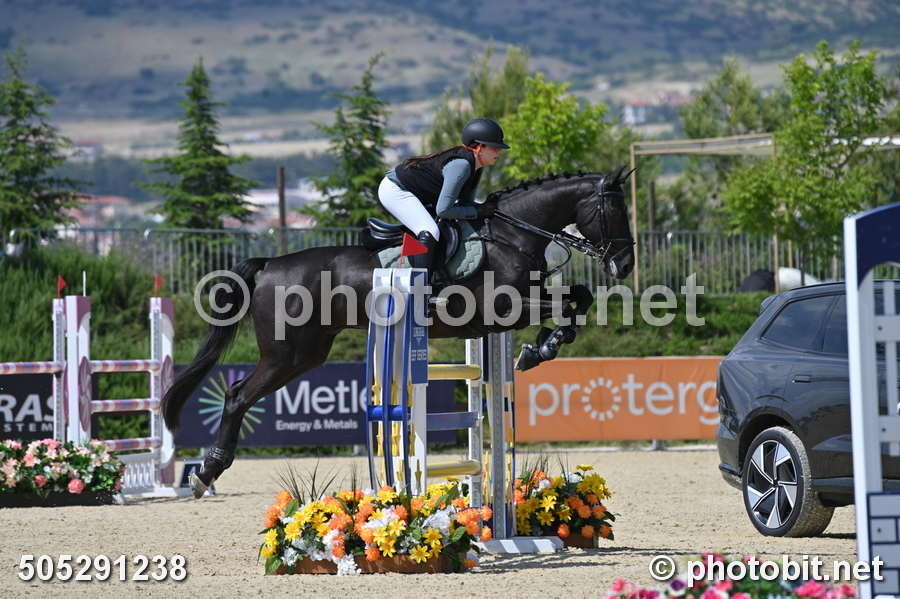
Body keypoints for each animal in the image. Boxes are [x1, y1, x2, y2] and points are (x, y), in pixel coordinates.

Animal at [162, 169, 635, 497]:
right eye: (613, 212)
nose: (625, 264)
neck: (511, 235)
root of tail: (271, 264)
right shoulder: (504, 310)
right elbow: (565, 308)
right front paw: (540, 349)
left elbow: (579, 299)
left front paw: (540, 349)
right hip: (286, 354)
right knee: (237, 395)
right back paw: (206, 472)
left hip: (307, 354)